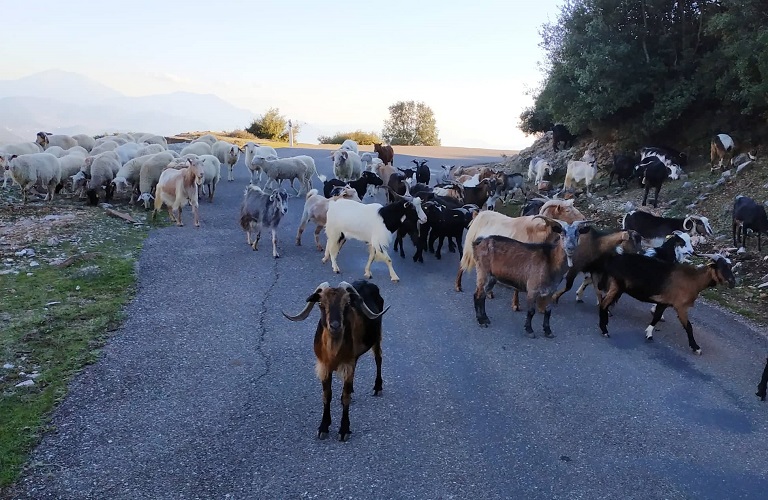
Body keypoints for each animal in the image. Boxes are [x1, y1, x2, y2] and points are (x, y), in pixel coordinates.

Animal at [284, 282, 390, 442]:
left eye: (346, 304)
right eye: (321, 303)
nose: (335, 326)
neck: (333, 352)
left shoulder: (347, 365)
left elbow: (345, 398)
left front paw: (344, 430)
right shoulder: (324, 366)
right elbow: (327, 395)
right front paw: (323, 427)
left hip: (377, 336)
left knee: (378, 358)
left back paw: (377, 387)